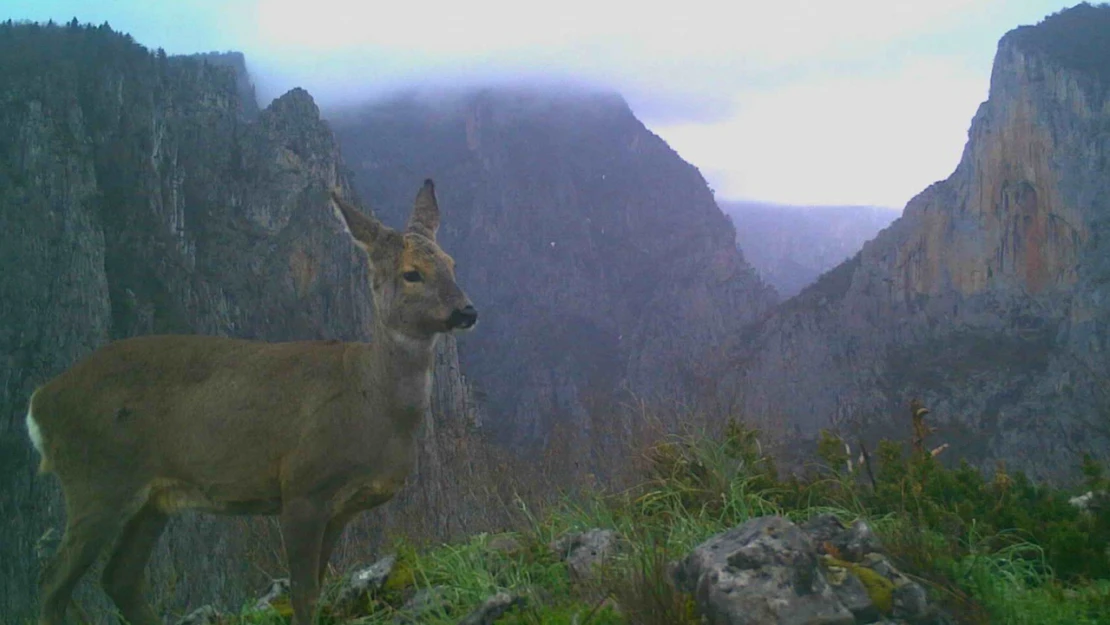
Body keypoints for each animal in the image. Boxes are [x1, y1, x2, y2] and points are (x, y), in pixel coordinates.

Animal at [24, 178, 477, 621]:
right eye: (411, 273)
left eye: (453, 264)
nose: (467, 311)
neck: (372, 402)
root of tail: (40, 402)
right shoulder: (302, 487)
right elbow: (303, 594)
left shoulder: (343, 508)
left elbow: (318, 586)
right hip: (98, 478)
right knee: (51, 582)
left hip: (151, 498)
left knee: (119, 578)